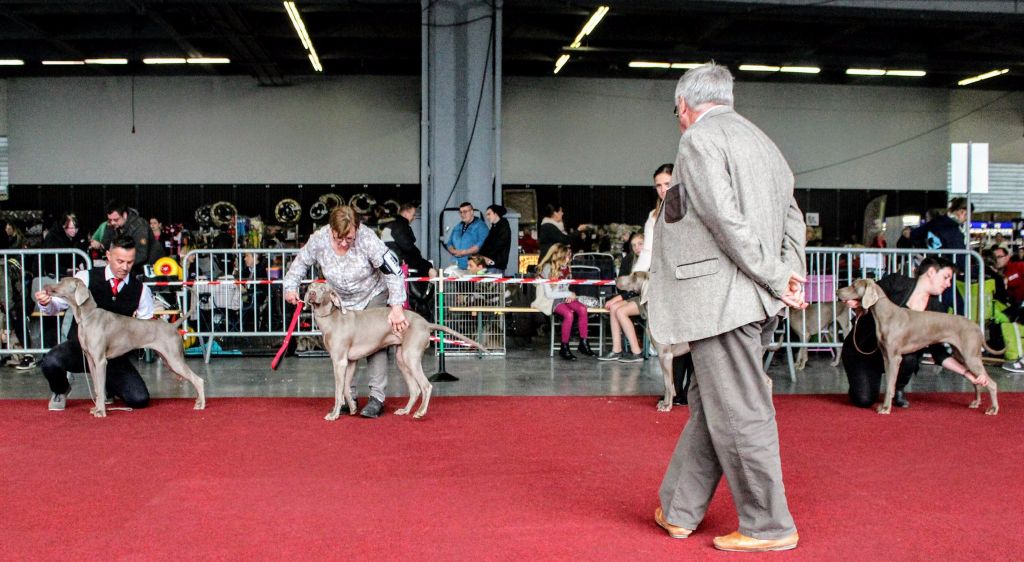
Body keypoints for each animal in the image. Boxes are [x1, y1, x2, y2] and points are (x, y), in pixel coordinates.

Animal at [45, 276, 205, 415]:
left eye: (62, 281)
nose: (46, 287)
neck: (87, 316)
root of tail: (172, 325)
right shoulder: (91, 361)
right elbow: (97, 388)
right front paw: (96, 408)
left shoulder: (101, 361)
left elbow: (101, 387)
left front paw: (101, 412)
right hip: (168, 361)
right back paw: (198, 401)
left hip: (174, 359)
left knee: (198, 380)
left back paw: (201, 404)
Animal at [301, 282, 485, 417]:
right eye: (310, 287)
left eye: (323, 289)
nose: (312, 294)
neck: (332, 319)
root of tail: (426, 323)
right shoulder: (350, 361)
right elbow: (346, 387)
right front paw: (352, 407)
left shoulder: (339, 361)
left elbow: (338, 390)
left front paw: (334, 414)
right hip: (402, 359)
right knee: (415, 389)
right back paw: (405, 410)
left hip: (410, 356)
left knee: (426, 386)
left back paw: (420, 412)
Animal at [614, 272, 688, 411]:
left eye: (634, 276)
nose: (616, 278)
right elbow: (668, 383)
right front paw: (665, 402)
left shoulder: (665, 355)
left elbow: (667, 383)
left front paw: (666, 406)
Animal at [835, 278, 995, 413]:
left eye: (854, 286)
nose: (836, 291)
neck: (885, 314)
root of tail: (976, 326)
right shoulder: (886, 357)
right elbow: (890, 383)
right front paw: (885, 405)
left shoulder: (894, 358)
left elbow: (890, 385)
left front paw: (886, 408)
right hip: (963, 356)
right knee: (977, 381)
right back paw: (976, 402)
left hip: (970, 357)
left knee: (991, 383)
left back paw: (993, 409)